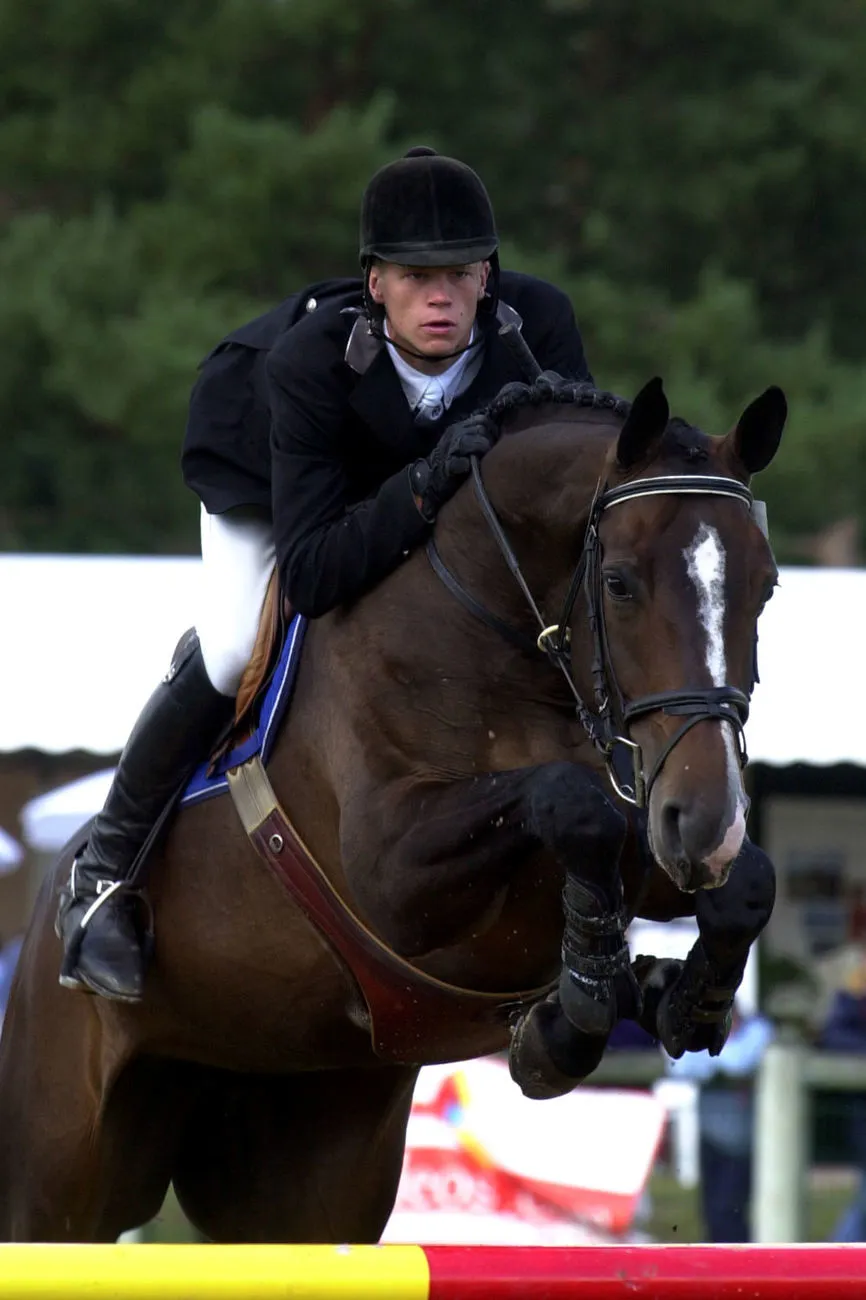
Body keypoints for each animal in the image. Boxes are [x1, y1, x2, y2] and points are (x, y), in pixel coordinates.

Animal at [0, 376, 785, 1242]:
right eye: (618, 583)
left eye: (766, 587)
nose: (706, 822)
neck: (500, 645)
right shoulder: (393, 877)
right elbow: (573, 805)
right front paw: (582, 995)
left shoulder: (656, 836)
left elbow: (746, 882)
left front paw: (681, 998)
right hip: (61, 1178)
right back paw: (101, 917)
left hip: (307, 1158)